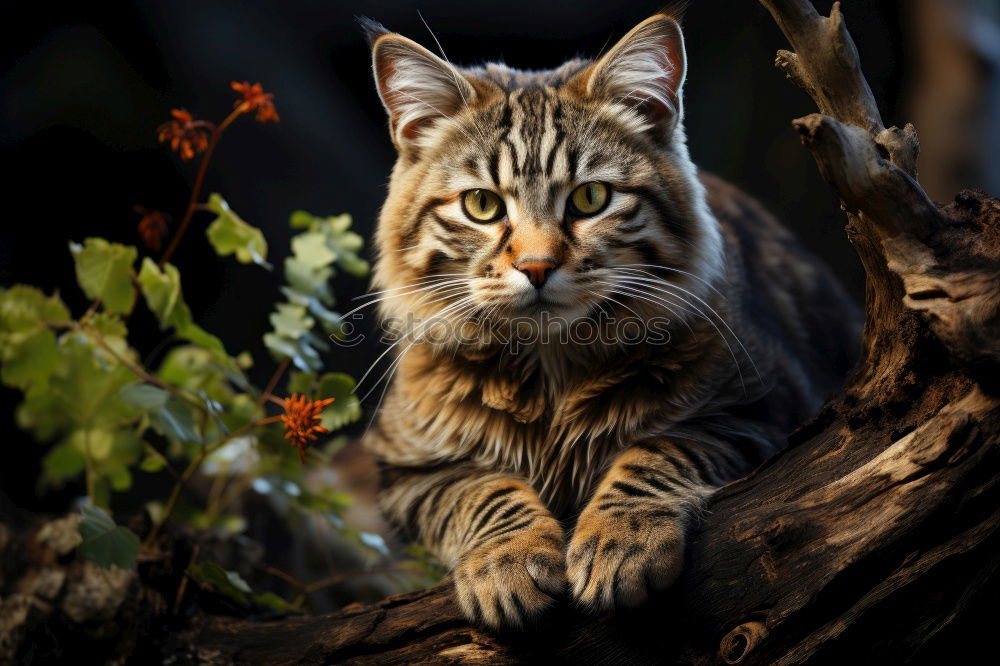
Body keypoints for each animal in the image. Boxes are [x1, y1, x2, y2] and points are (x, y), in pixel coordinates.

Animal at [360, 11, 860, 628]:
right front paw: (508, 561)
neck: (551, 367)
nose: (536, 266)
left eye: (590, 199)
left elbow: (655, 452)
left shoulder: (759, 411)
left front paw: (620, 541)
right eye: (482, 206)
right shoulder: (404, 468)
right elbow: (479, 490)